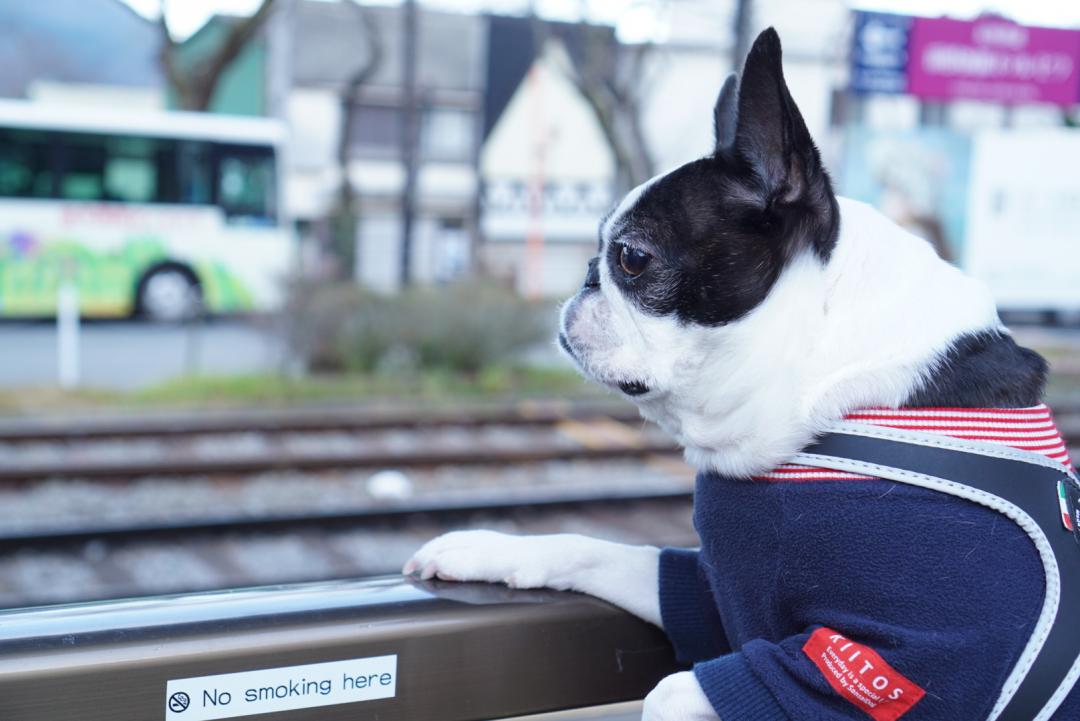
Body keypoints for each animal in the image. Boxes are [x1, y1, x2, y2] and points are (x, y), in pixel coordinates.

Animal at [406, 28, 1080, 721]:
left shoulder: (909, 669)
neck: (826, 397)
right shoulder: (712, 587)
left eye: (631, 257)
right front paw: (486, 547)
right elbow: (603, 549)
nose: (582, 284)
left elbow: (670, 693)